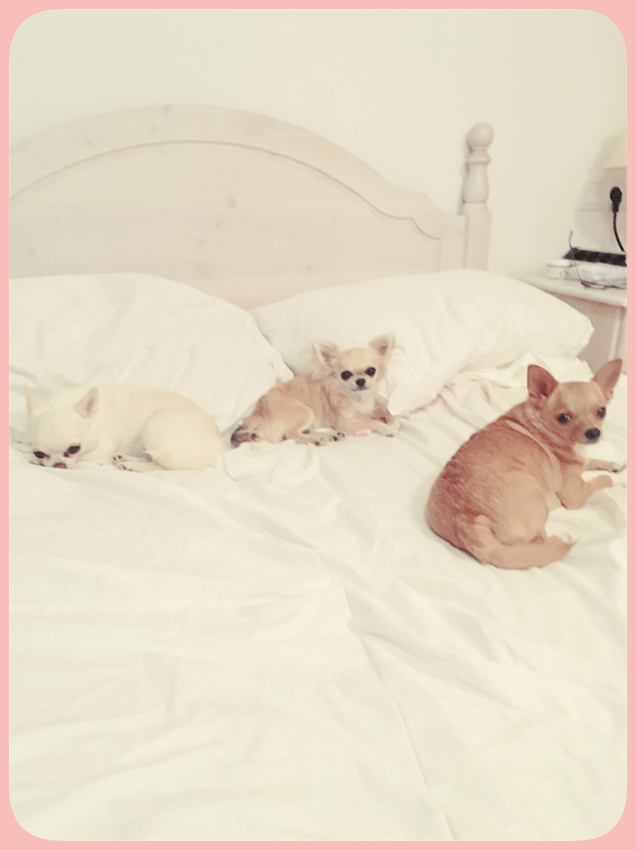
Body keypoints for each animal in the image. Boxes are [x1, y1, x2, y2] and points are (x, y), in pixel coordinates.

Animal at [22, 384, 224, 472]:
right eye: (39, 453)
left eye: (74, 449)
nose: (59, 465)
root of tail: (217, 443)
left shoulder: (100, 451)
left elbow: (85, 458)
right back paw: (127, 457)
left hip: (155, 428)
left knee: (160, 465)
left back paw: (133, 464)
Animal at [231, 333, 400, 447]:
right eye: (345, 374)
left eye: (371, 371)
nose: (360, 380)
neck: (356, 397)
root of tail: (257, 411)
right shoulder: (344, 422)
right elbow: (368, 421)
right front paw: (386, 427)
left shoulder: (369, 407)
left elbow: (384, 410)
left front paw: (394, 420)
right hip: (304, 412)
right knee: (290, 433)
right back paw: (316, 439)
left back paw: (330, 435)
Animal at [425, 359, 623, 569]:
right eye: (563, 418)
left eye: (601, 411)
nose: (594, 433)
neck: (542, 423)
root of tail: (467, 522)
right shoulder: (575, 495)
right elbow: (603, 479)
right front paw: (620, 481)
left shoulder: (582, 461)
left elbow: (593, 461)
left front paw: (615, 463)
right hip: (535, 492)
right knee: (538, 543)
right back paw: (562, 537)